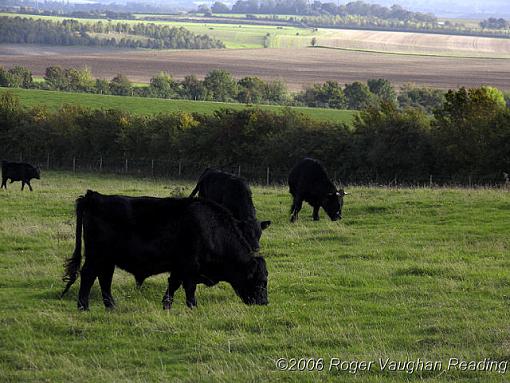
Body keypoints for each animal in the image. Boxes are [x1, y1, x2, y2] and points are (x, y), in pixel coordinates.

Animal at [60, 190, 268, 310]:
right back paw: (83, 306)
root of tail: (93, 196)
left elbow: (173, 285)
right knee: (88, 275)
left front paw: (167, 305)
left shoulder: (179, 268)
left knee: (104, 278)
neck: (210, 228)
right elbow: (189, 288)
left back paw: (111, 306)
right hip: (96, 256)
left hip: (108, 259)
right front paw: (192, 307)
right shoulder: (190, 267)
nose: (264, 302)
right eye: (260, 281)